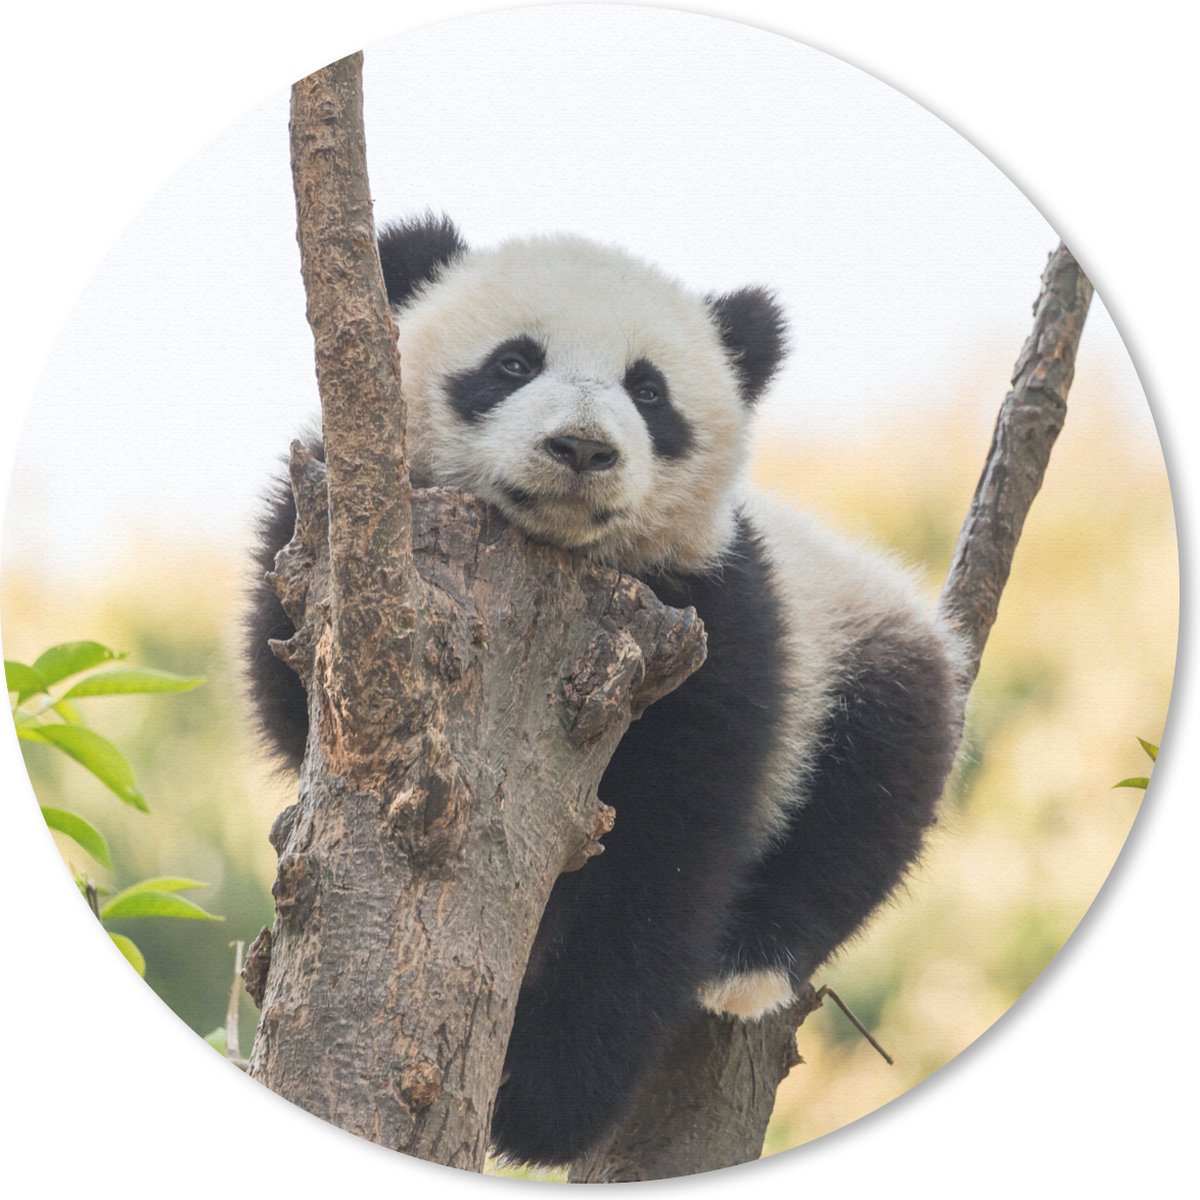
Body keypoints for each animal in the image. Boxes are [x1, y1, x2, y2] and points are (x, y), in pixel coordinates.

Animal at [245, 214, 966, 1167]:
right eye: (514, 363)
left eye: (649, 391)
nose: (583, 448)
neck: (559, 556)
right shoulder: (325, 550)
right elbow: (290, 686)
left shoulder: (715, 619)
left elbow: (664, 853)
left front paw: (538, 1100)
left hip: (856, 641)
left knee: (872, 788)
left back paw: (748, 963)